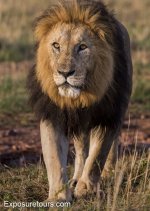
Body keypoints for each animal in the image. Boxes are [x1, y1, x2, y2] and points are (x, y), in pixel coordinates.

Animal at [27, 0, 132, 201]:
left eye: (82, 47)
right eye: (56, 45)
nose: (65, 73)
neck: (79, 98)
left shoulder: (108, 115)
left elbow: (98, 156)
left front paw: (86, 189)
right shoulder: (53, 114)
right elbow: (55, 159)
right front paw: (59, 197)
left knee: (111, 146)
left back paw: (107, 173)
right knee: (82, 149)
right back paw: (76, 177)